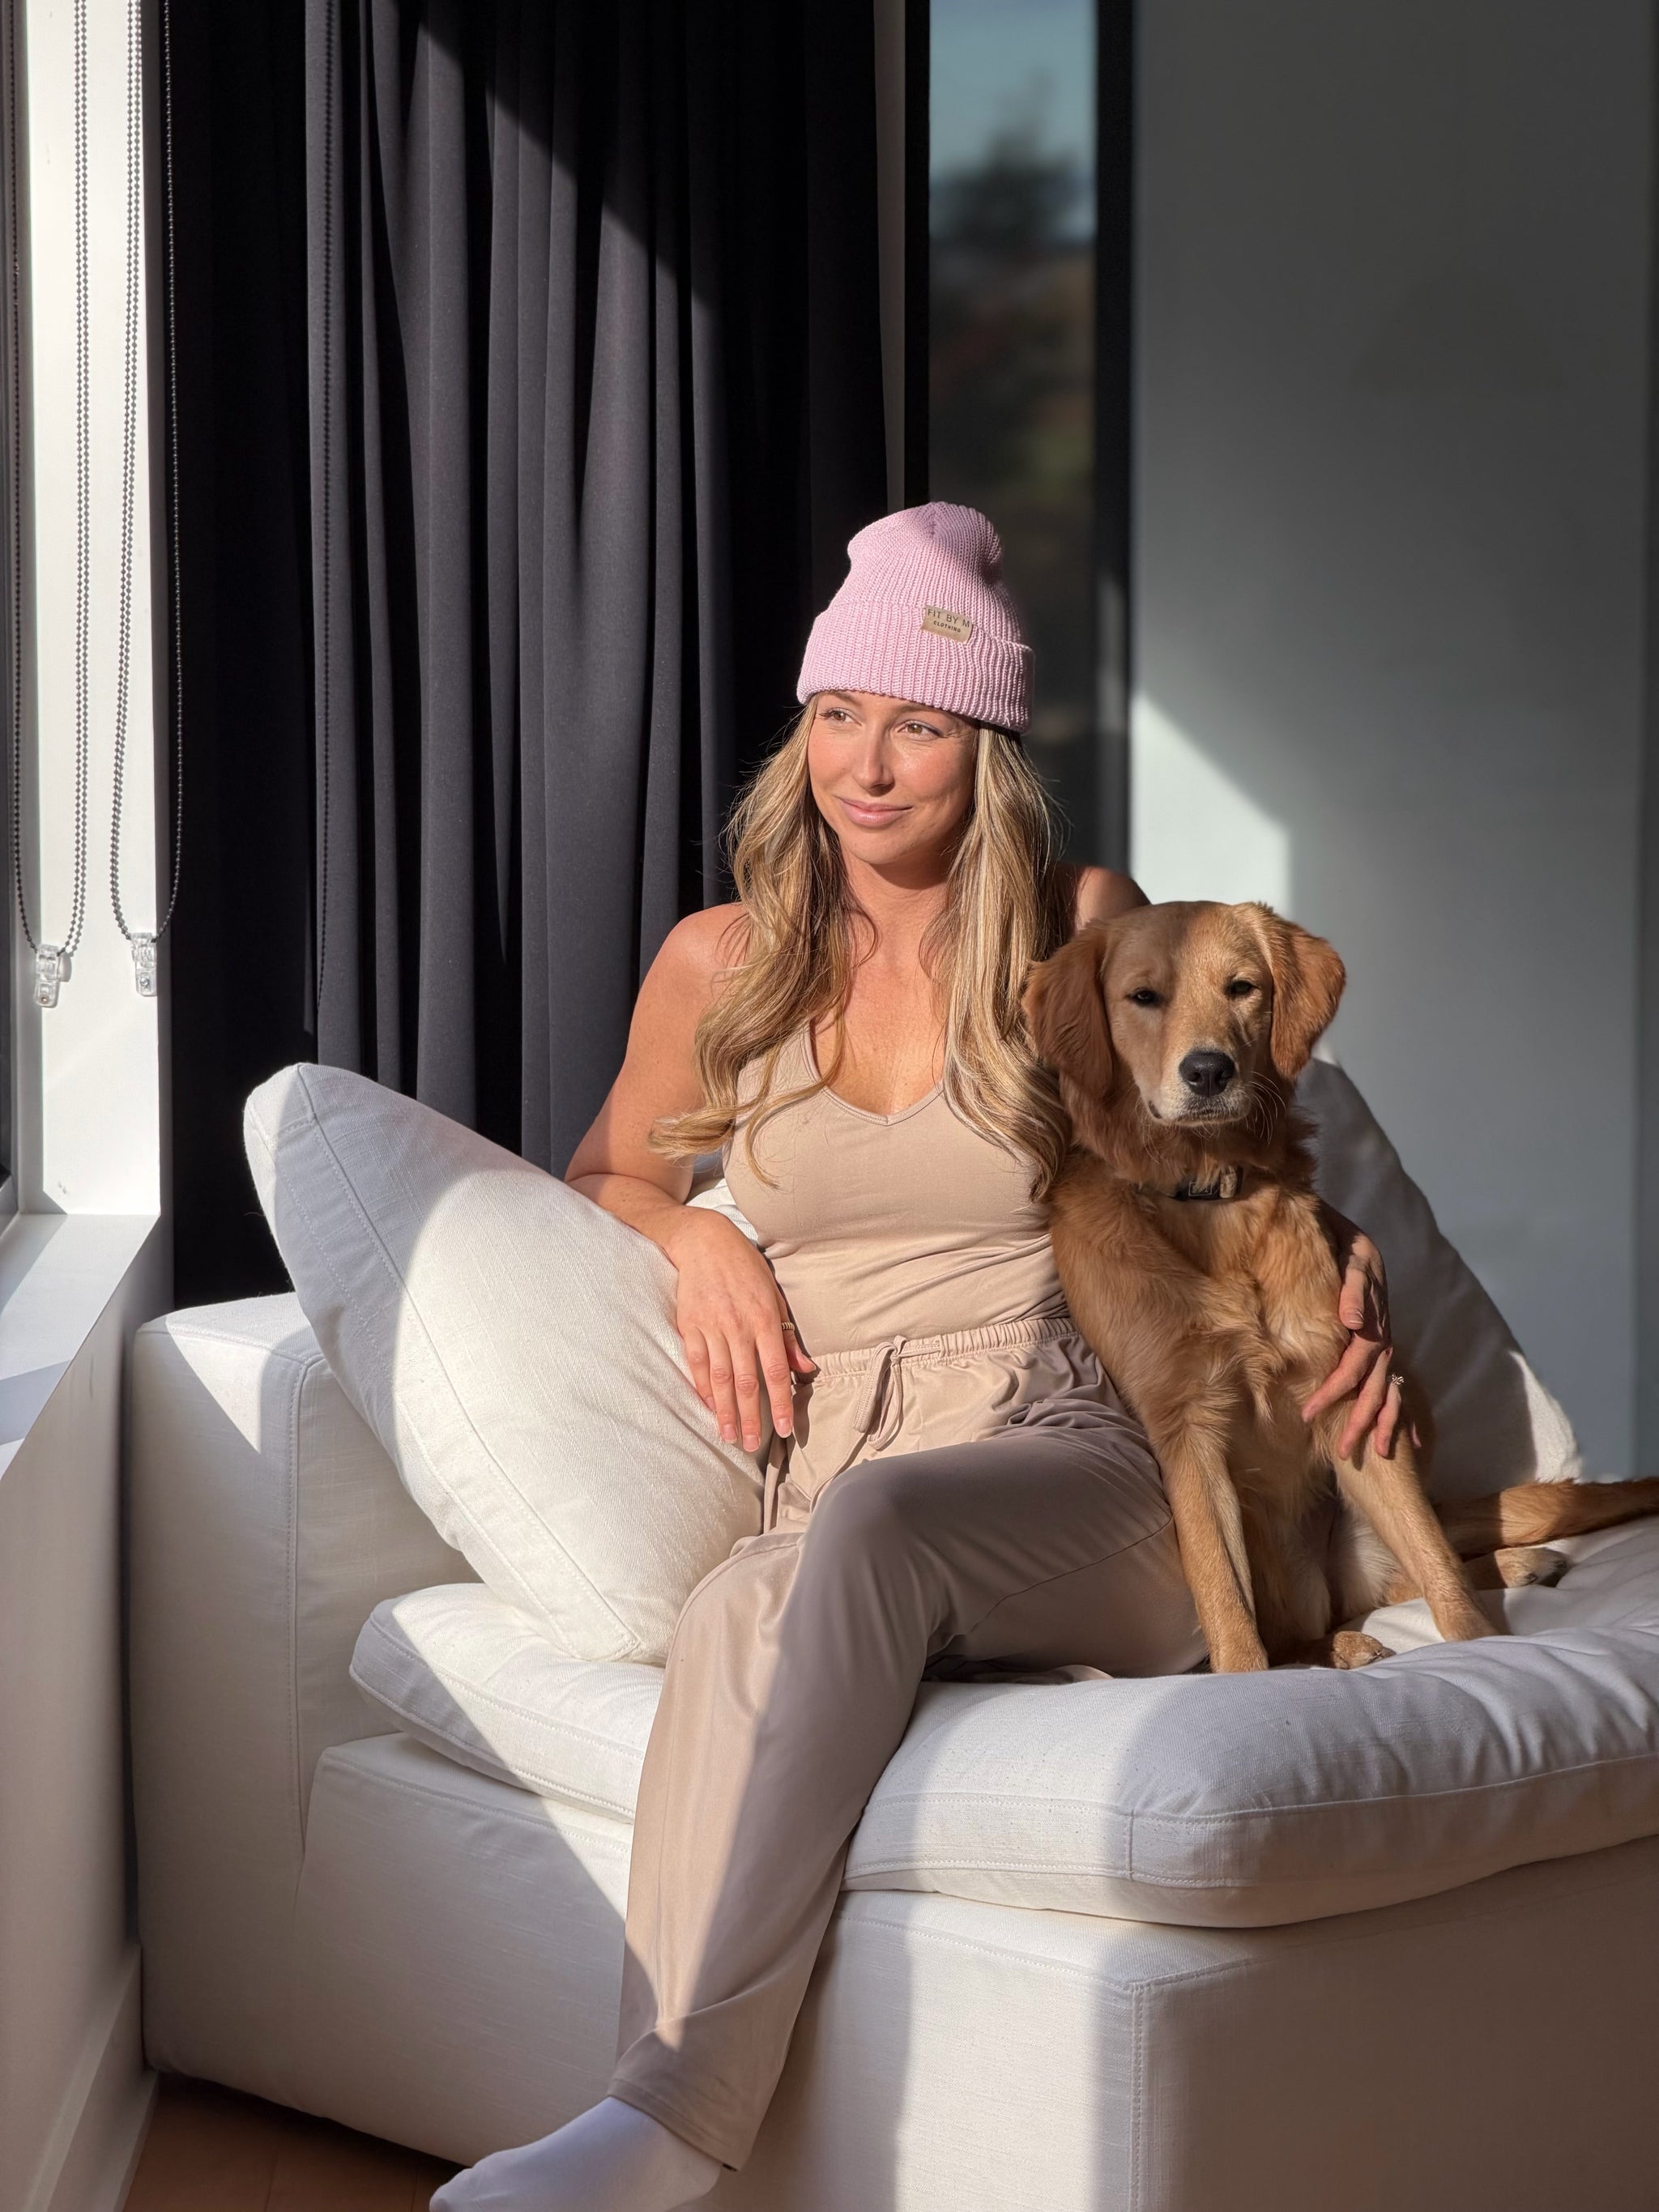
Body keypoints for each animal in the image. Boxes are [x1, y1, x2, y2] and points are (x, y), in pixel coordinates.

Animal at [1023, 900, 1659, 1671]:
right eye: (1144, 996)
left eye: (1243, 988)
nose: (1208, 1070)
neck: (1212, 1198)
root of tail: (1322, 1586)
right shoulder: (1186, 1432)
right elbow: (1228, 1609)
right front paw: (1243, 1678)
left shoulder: (1351, 1395)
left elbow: (1440, 1571)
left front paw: (1482, 1648)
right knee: (1296, 1632)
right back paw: (1350, 1643)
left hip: (1388, 1448)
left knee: (1423, 1558)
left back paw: (1511, 1567)